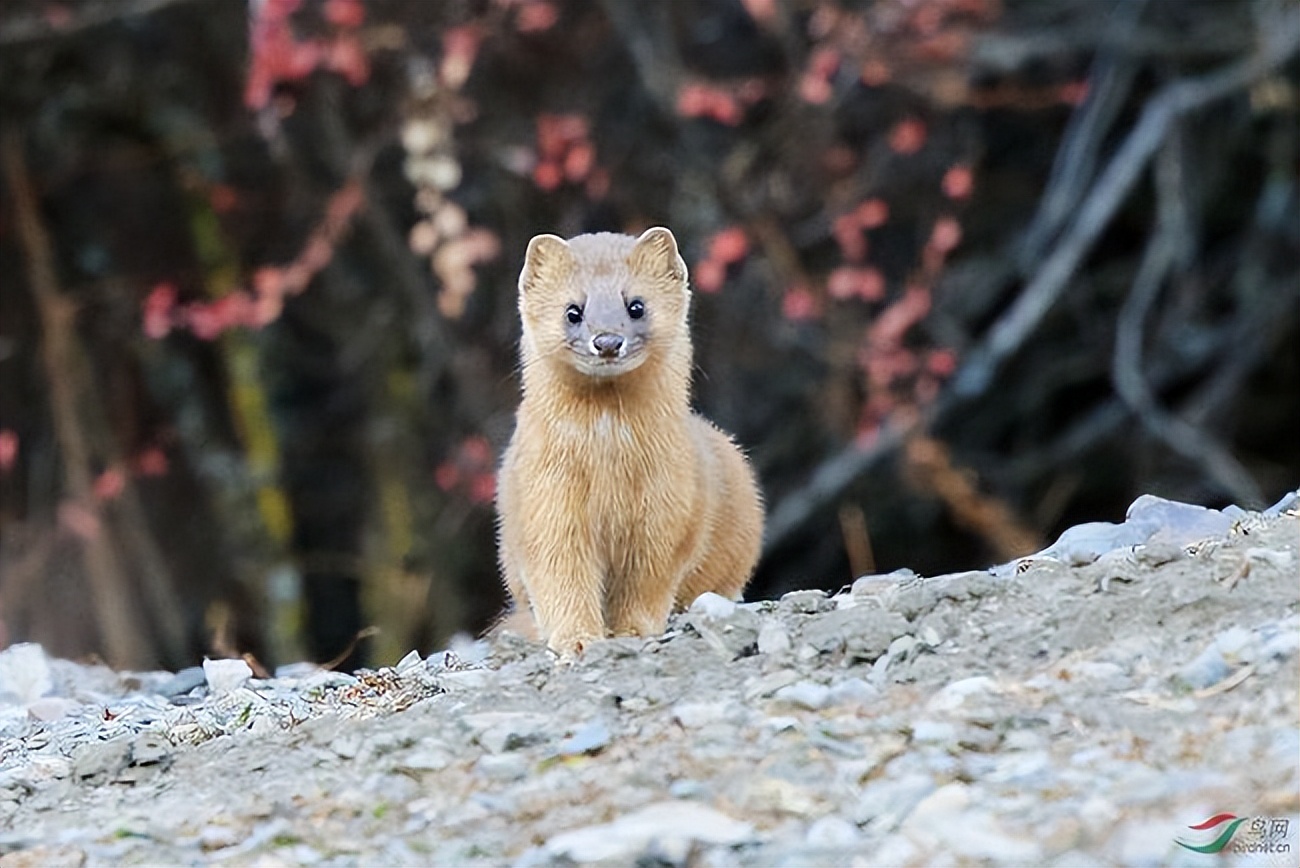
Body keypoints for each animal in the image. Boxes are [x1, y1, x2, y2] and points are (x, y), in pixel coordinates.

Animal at [493, 227, 759, 654]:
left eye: (636, 305)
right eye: (573, 310)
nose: (606, 341)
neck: (608, 464)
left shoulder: (670, 507)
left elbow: (648, 579)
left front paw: (632, 631)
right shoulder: (545, 500)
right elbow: (559, 573)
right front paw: (576, 639)